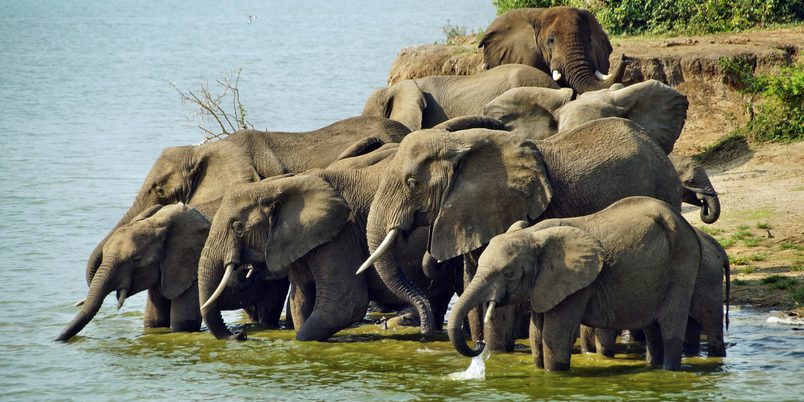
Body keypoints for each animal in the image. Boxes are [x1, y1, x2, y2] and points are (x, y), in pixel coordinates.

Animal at [198, 156, 458, 340]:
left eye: (237, 226)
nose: (240, 335)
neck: (279, 186)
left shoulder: (341, 235)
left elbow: (344, 304)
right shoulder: (298, 242)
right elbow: (301, 301)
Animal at [358, 116, 682, 347]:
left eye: (413, 184)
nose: (425, 334)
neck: (459, 145)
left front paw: (491, 350)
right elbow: (472, 279)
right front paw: (479, 344)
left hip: (663, 190)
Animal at [447, 196, 701, 371]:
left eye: (508, 273)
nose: (479, 345)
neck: (533, 235)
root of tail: (689, 227)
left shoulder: (575, 285)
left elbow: (554, 335)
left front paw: (554, 374)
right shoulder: (543, 285)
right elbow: (535, 334)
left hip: (681, 268)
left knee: (670, 327)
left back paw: (669, 369)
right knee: (652, 328)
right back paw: (653, 366)